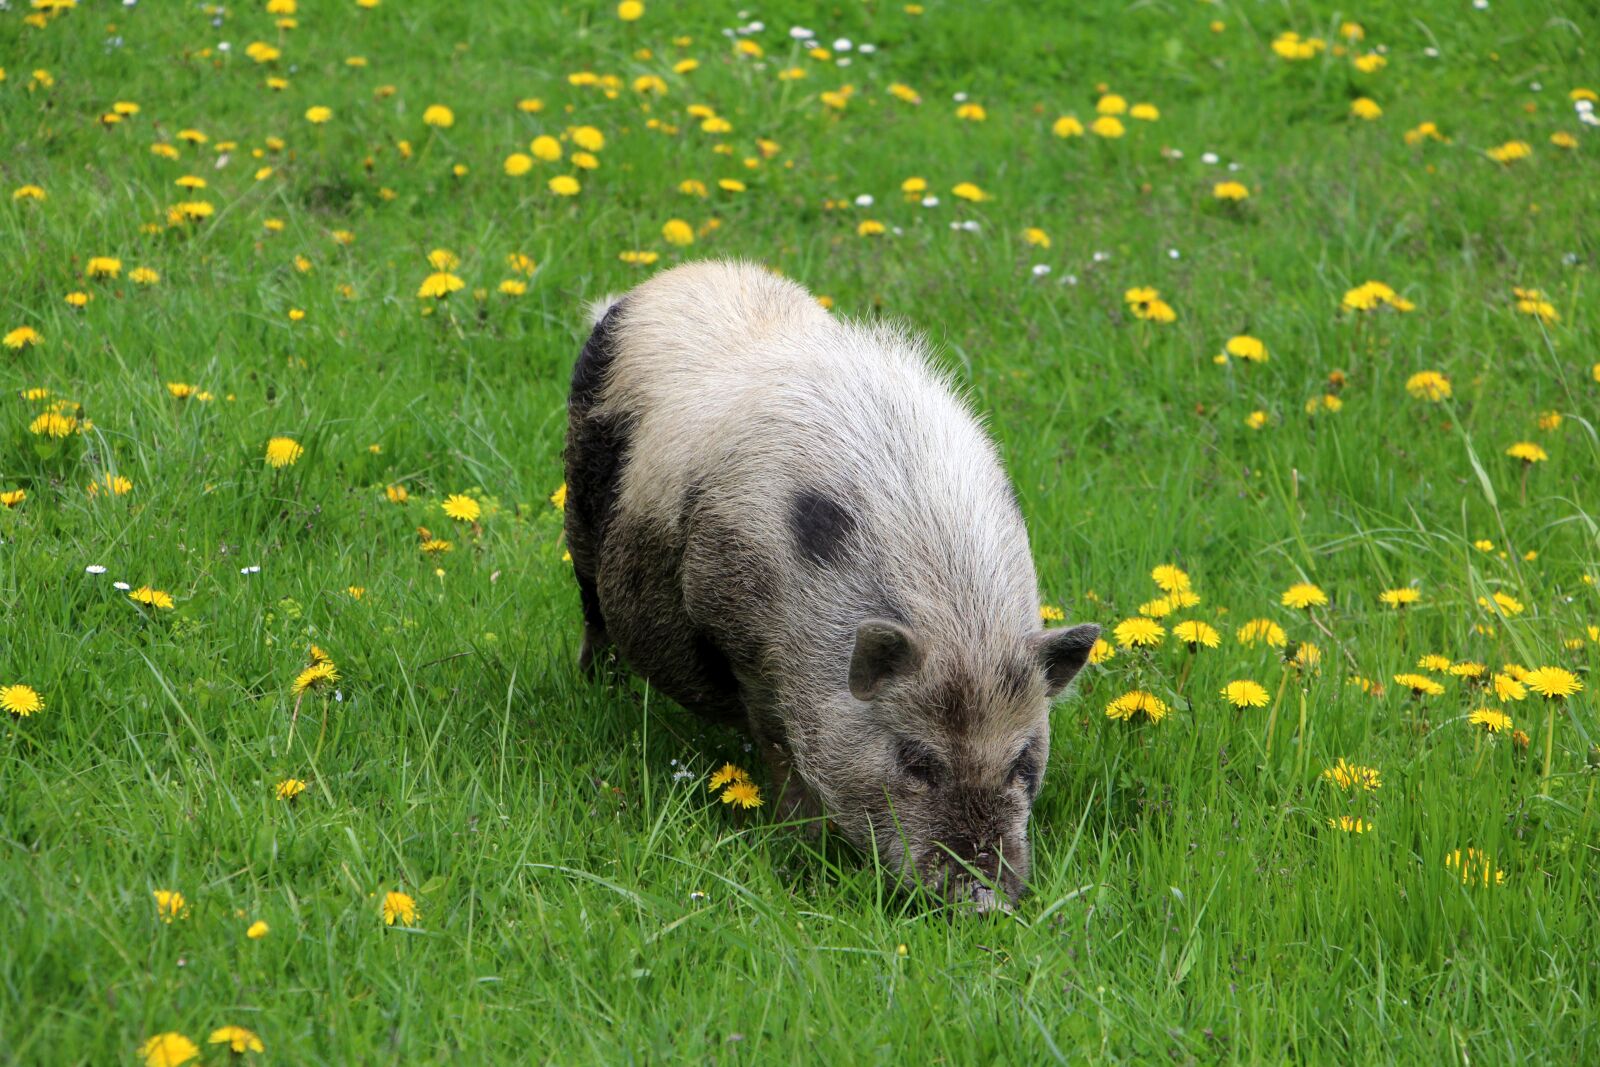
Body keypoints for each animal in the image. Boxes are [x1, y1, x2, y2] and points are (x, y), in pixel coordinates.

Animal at [563, 260, 1098, 909]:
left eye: (1022, 761)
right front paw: (801, 844)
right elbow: (777, 742)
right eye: (916, 759)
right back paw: (597, 683)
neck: (954, 617)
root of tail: (672, 278)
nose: (983, 900)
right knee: (591, 602)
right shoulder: (738, 626)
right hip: (579, 493)